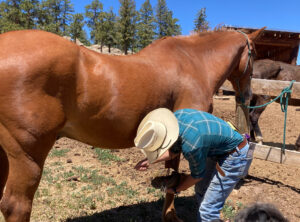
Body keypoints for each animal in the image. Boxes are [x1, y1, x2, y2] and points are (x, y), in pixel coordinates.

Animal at [0, 28, 262, 221]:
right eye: (255, 55)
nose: (248, 96)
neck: (193, 63)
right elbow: (175, 175)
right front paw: (171, 215)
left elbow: (172, 174)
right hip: (28, 154)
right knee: (16, 206)